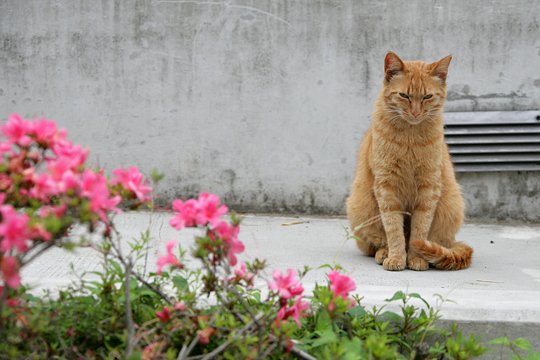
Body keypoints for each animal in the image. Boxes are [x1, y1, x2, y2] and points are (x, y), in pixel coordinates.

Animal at [348, 50, 470, 270]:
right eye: (404, 96)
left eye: (427, 96)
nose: (415, 113)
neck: (410, 138)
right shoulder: (387, 187)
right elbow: (393, 228)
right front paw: (397, 257)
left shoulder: (428, 187)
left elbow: (419, 229)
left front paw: (416, 258)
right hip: (361, 207)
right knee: (376, 243)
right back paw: (384, 253)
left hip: (451, 207)